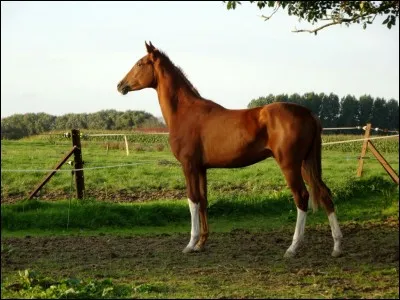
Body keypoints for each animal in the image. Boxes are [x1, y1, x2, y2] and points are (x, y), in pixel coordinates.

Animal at [116, 41, 344, 258]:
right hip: (306, 164)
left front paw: (190, 244)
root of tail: (309, 114)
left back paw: (293, 248)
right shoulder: (201, 168)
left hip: (290, 165)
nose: (120, 85)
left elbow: (192, 200)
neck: (185, 112)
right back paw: (337, 246)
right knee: (325, 194)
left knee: (302, 197)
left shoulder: (189, 166)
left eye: (140, 63)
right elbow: (203, 200)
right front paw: (201, 244)